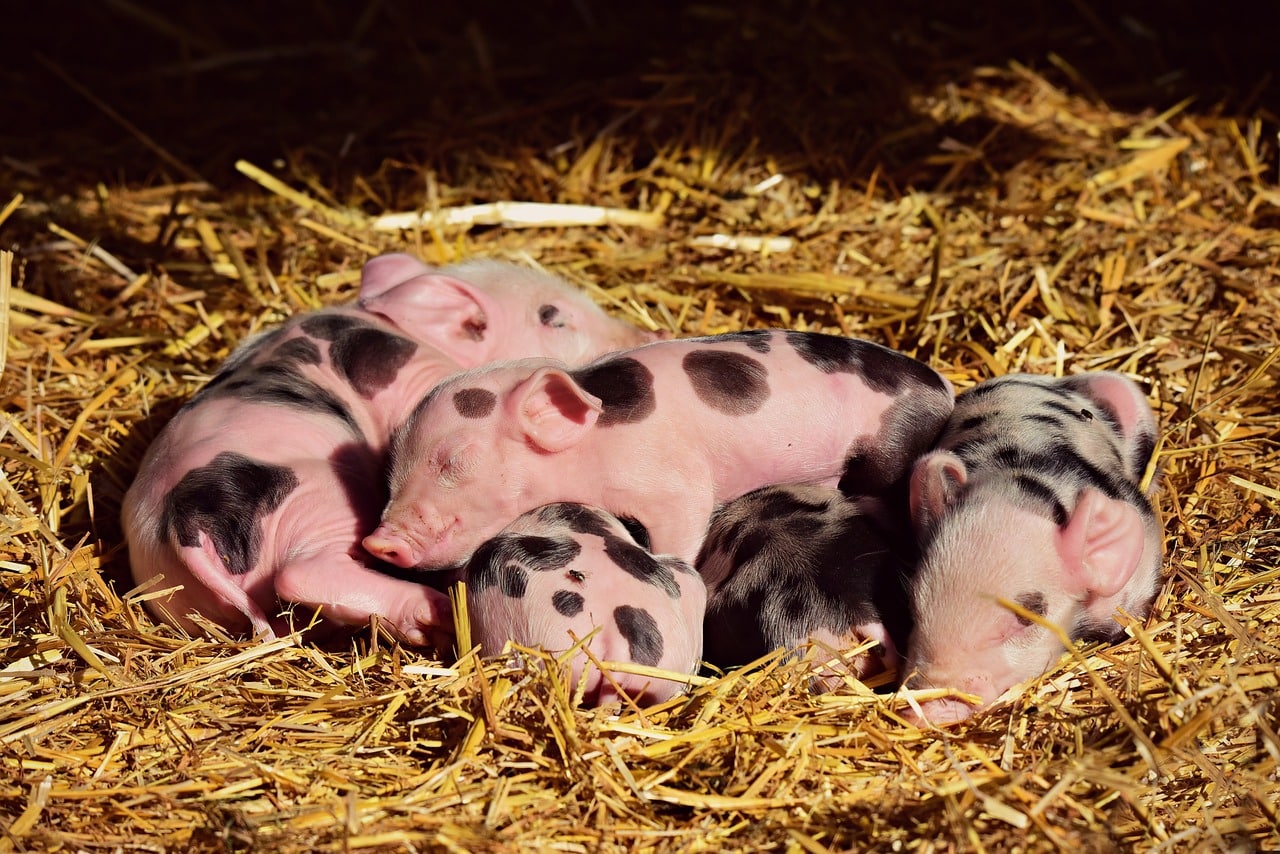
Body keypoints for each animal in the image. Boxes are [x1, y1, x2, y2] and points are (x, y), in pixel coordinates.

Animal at [122, 252, 660, 640]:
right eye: (553, 316)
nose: (649, 330)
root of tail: (186, 523)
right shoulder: (419, 376)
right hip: (319, 497)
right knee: (303, 572)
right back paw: (435, 614)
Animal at [366, 330, 957, 571]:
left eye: (454, 460)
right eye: (391, 468)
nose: (376, 543)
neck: (590, 446)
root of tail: (941, 387)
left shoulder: (672, 483)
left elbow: (684, 521)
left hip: (888, 452)